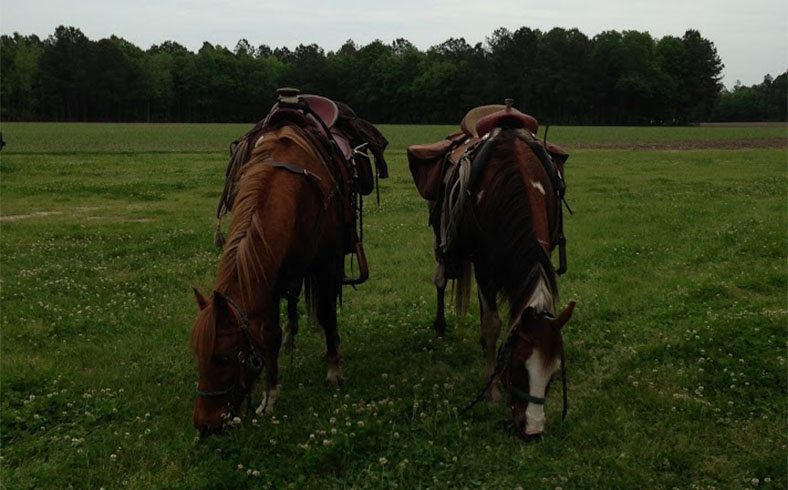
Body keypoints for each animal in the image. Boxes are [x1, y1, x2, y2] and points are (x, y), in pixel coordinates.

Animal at [191, 121, 348, 432]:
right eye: (199, 355)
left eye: (223, 358)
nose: (205, 424)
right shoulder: (270, 276)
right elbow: (269, 335)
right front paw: (270, 396)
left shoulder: (325, 264)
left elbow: (326, 314)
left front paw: (333, 371)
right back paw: (291, 337)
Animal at [412, 108, 572, 440]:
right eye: (518, 368)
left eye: (553, 374)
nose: (533, 430)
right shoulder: (485, 265)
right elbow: (492, 324)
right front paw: (492, 389)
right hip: (442, 237)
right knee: (440, 279)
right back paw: (440, 326)